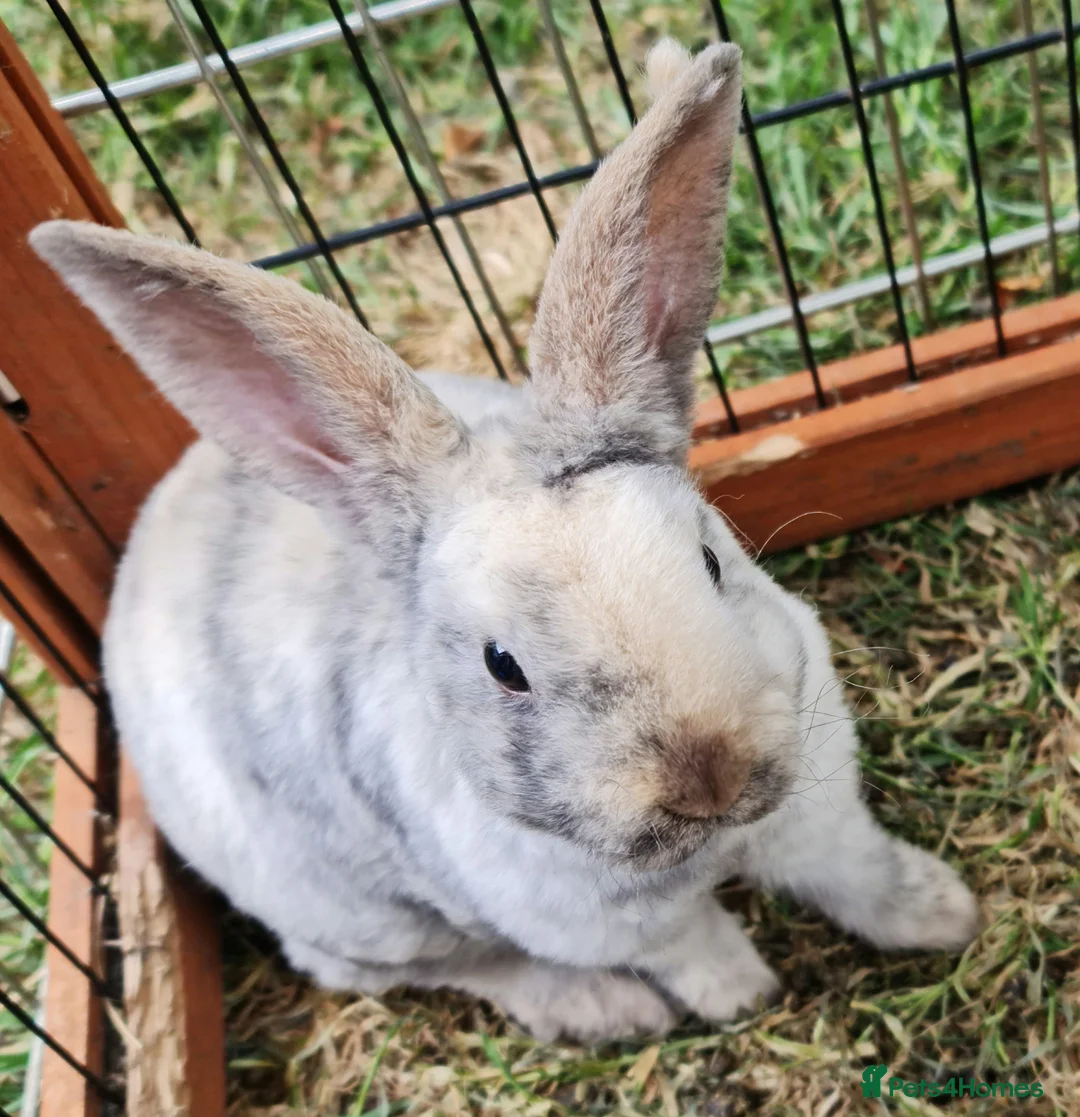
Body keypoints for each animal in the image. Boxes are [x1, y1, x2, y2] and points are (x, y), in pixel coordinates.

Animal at [30, 39, 978, 1044]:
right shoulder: (611, 919)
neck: (719, 841)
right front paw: (743, 995)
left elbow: (856, 870)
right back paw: (609, 1010)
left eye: (711, 561)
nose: (706, 774)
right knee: (435, 965)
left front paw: (945, 913)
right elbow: (695, 946)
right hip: (366, 919)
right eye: (502, 665)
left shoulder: (820, 807)